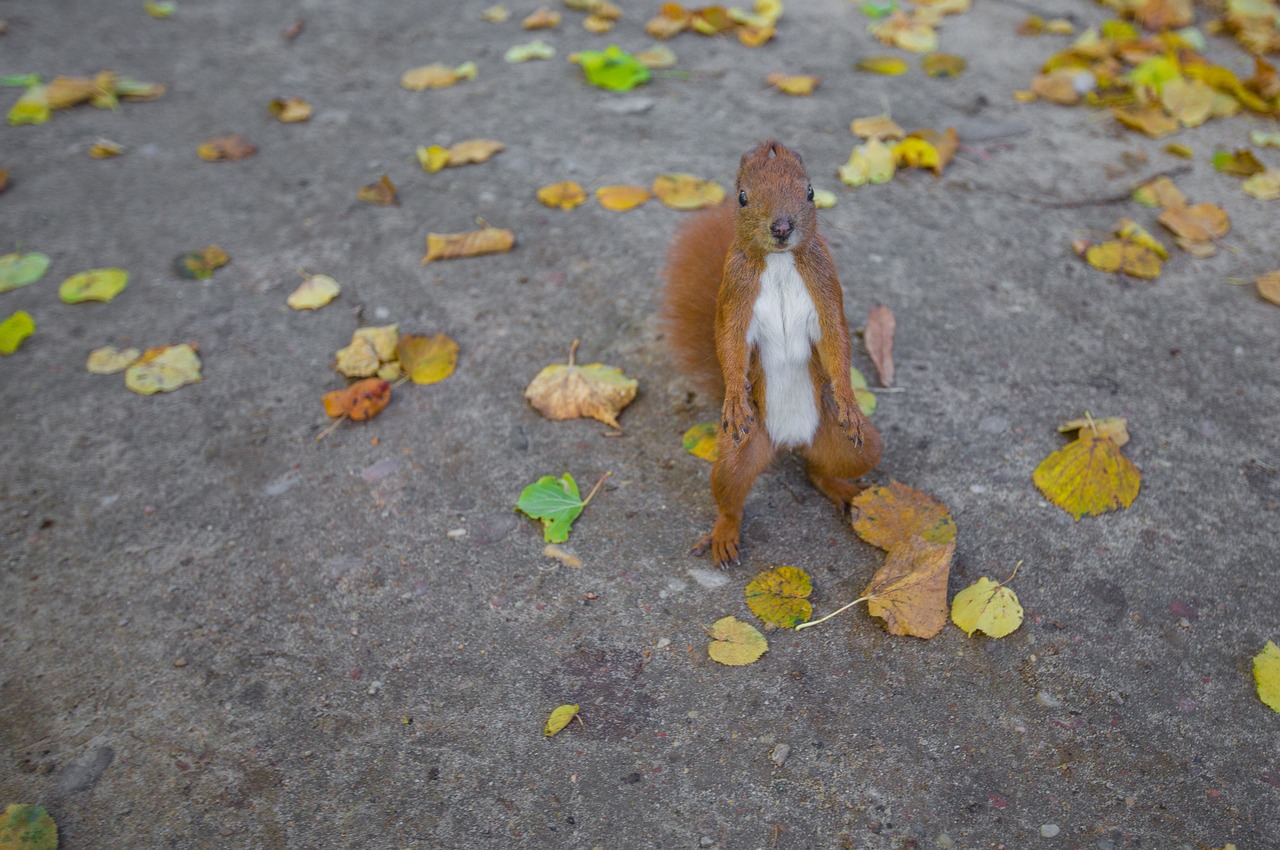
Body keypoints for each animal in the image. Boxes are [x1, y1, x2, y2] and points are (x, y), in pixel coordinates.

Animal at [660, 137, 880, 563]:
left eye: (810, 192)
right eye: (742, 197)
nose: (781, 227)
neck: (779, 262)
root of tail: (790, 441)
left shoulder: (825, 285)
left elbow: (836, 341)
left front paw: (847, 398)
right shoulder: (735, 293)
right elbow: (729, 343)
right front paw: (734, 395)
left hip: (854, 447)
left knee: (820, 470)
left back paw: (842, 489)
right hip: (739, 452)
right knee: (730, 494)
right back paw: (724, 534)